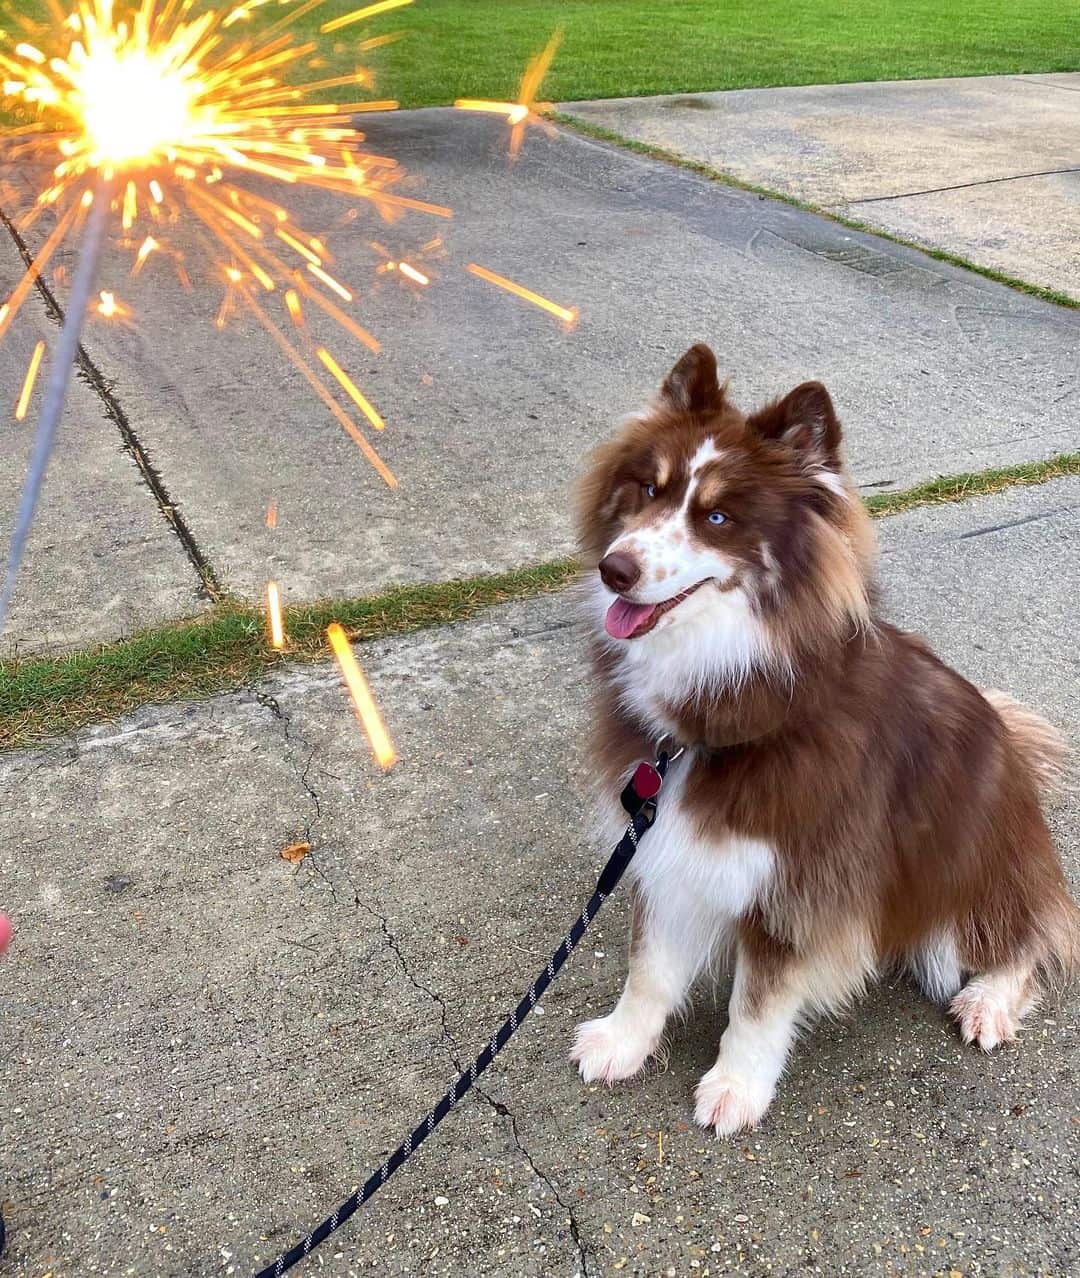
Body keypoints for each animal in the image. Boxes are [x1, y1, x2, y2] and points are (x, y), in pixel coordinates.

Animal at [570, 342, 1073, 1139]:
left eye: (717, 516)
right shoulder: (668, 844)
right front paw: (625, 1040)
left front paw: (737, 1087)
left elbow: (758, 1002)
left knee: (1036, 932)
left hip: (961, 874)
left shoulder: (800, 880)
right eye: (645, 489)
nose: (614, 568)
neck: (737, 695)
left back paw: (990, 999)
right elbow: (649, 966)